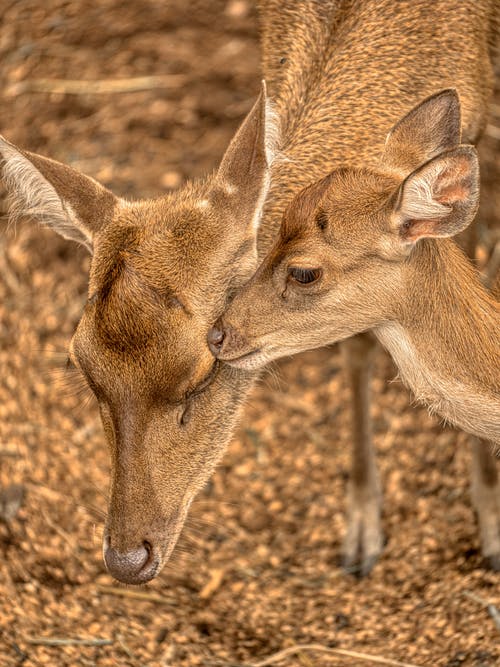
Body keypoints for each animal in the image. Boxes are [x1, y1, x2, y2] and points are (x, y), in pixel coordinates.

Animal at [0, 1, 500, 584]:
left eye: (200, 376)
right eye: (83, 368)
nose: (126, 558)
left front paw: (490, 526)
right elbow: (358, 345)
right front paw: (360, 532)